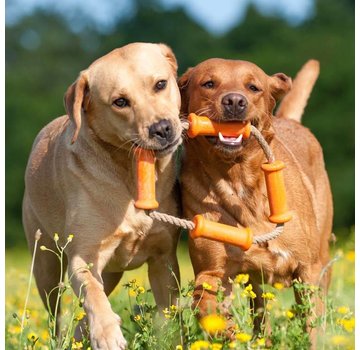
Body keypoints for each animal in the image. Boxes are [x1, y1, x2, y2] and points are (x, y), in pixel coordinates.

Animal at [23, 42, 183, 348]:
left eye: (160, 84)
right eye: (120, 102)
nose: (162, 128)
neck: (128, 176)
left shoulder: (163, 259)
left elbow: (167, 314)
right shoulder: (83, 257)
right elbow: (93, 295)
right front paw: (108, 335)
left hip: (111, 273)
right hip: (46, 266)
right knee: (57, 313)